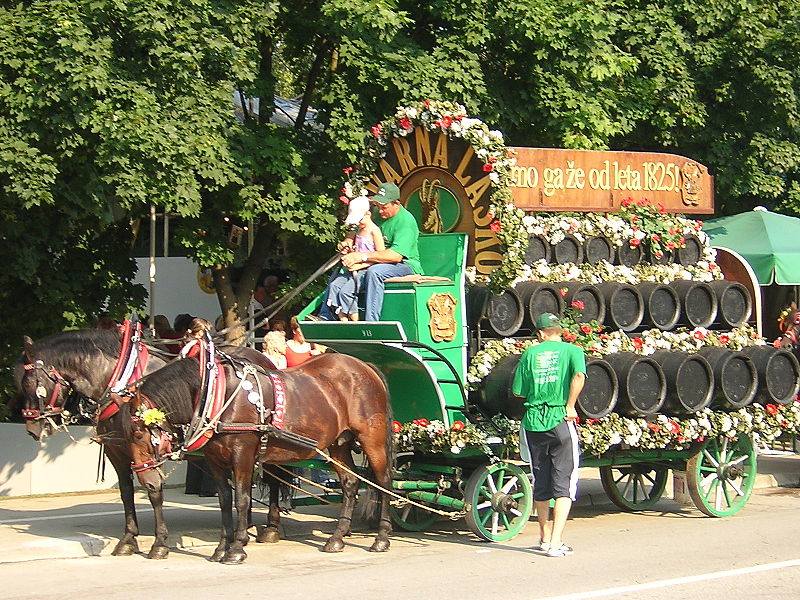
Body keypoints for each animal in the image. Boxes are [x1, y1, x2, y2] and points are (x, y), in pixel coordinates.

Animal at [122, 352, 394, 564]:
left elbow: (242, 500)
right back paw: (337, 537)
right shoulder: (214, 460)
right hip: (339, 443)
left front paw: (237, 548)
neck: (216, 393)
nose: (147, 481)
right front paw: (221, 547)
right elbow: (225, 501)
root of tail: (363, 365)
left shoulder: (242, 454)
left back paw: (381, 537)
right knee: (350, 483)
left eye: (137, 434)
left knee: (384, 482)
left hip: (372, 439)